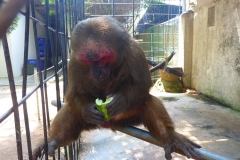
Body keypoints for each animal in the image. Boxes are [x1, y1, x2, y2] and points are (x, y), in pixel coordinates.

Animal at [31, 16, 201, 160]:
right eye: (87, 60)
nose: (97, 71)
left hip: (127, 116)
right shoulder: (74, 61)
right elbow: (73, 95)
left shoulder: (134, 51)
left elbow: (142, 86)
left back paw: (169, 137)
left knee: (147, 101)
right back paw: (53, 141)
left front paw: (121, 101)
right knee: (71, 110)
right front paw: (88, 110)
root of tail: (109, 124)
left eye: (104, 58)